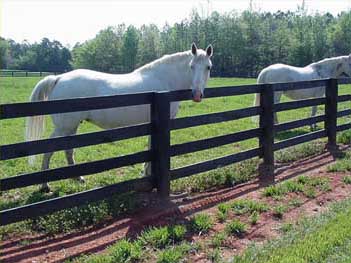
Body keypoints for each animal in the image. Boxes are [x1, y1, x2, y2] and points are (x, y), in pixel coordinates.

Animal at [26, 42, 213, 192]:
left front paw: (146, 172)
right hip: (64, 127)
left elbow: (150, 146)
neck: (164, 79)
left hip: (71, 127)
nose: (197, 95)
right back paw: (44, 186)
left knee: (68, 150)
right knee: (49, 150)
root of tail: (59, 78)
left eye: (208, 67)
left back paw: (78, 178)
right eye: (191, 66)